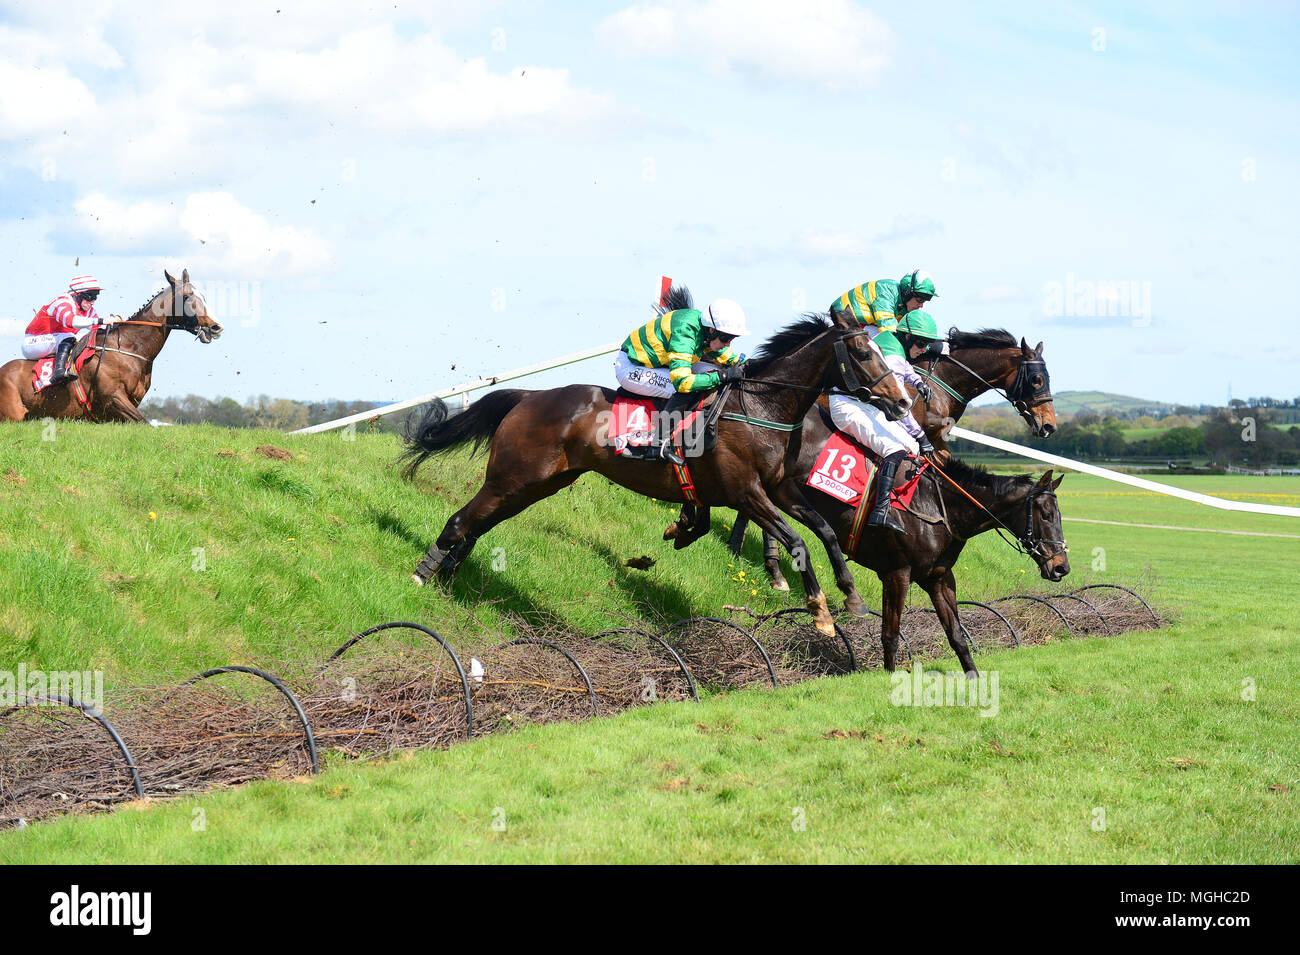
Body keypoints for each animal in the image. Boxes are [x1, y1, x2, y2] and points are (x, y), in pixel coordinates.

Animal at [0, 267, 223, 420]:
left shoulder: (128, 404)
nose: (215, 327)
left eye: (203, 296)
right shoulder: (114, 398)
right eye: (187, 297)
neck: (127, 350)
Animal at [400, 300, 909, 634]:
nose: (903, 402)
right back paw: (423, 574)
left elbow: (824, 531)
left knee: (480, 523)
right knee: (463, 519)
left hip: (536, 484)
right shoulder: (746, 493)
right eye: (865, 354)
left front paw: (852, 596)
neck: (762, 407)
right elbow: (798, 540)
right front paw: (819, 611)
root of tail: (530, 396)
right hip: (514, 476)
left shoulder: (779, 488)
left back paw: (448, 574)